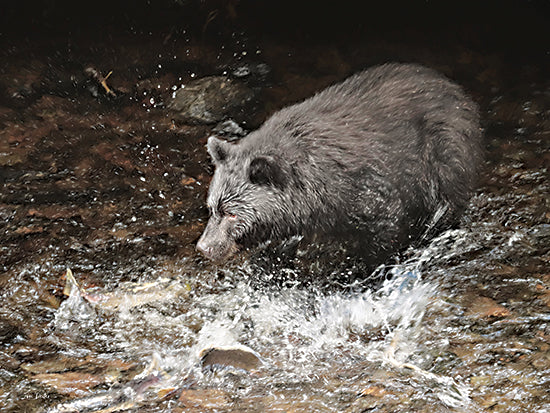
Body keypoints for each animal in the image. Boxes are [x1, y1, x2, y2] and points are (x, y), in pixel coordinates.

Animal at [197, 62, 484, 266]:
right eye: (212, 208)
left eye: (232, 214)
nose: (204, 247)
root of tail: (456, 89)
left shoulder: (367, 191)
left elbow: (383, 229)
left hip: (446, 156)